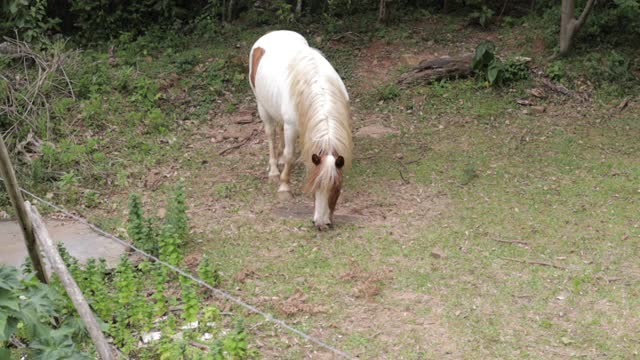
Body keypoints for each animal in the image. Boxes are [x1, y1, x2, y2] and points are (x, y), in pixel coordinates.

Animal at [248, 29, 352, 229]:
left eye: (336, 188)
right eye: (314, 188)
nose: (321, 223)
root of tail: (272, 33)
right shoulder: (291, 127)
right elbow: (290, 155)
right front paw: (284, 188)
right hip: (262, 107)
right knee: (271, 134)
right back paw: (274, 170)